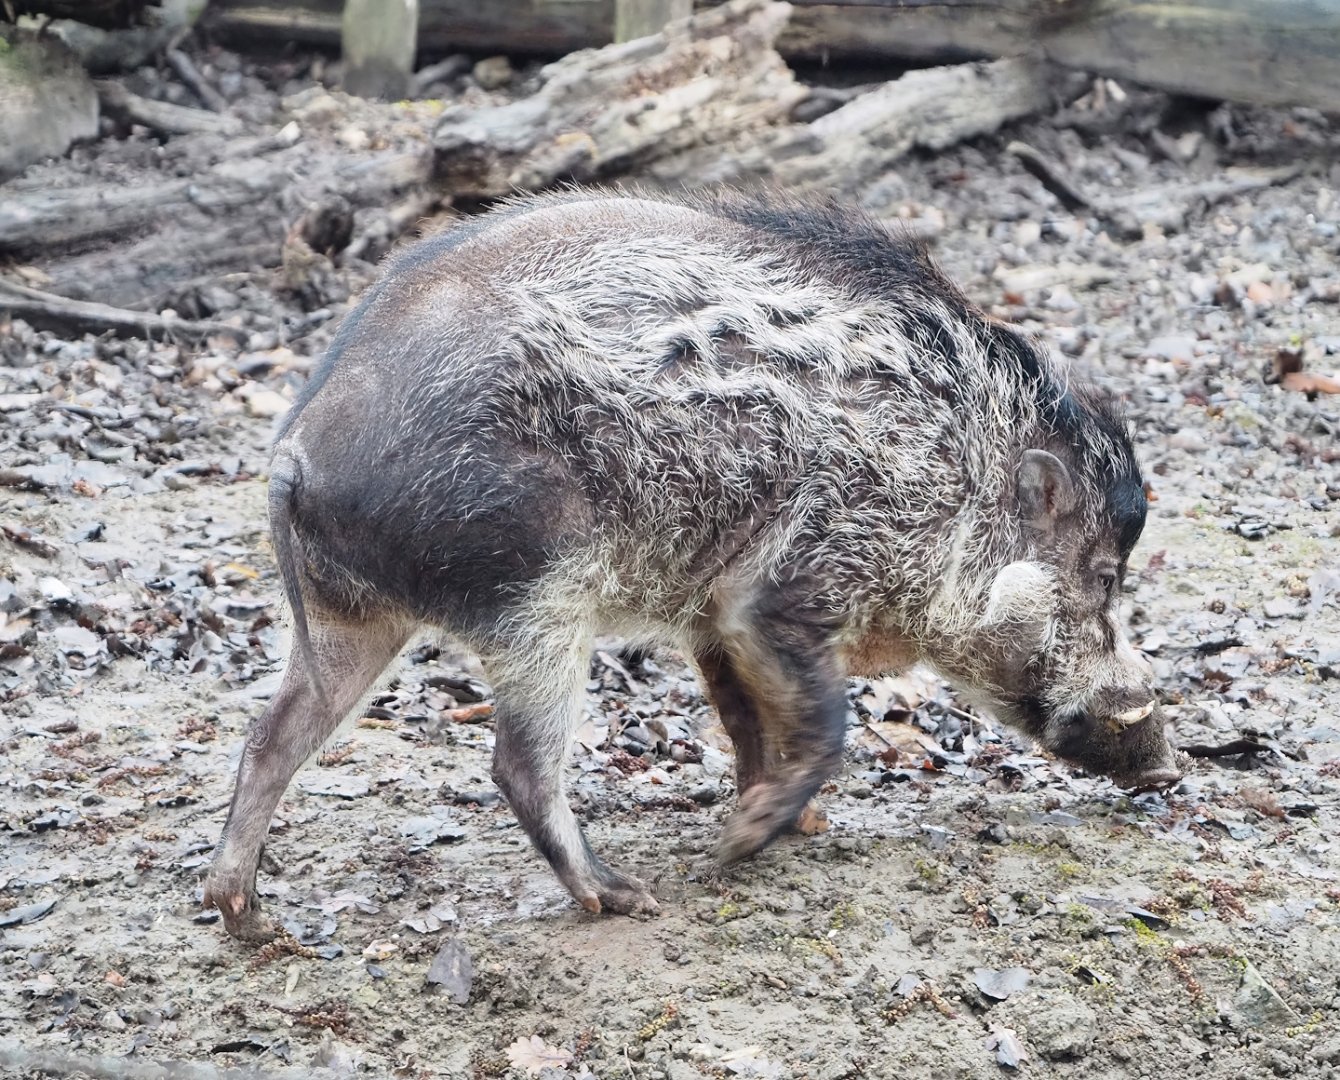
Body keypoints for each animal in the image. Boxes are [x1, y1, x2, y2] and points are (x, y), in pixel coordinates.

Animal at [204, 188, 1182, 940]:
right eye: (1103, 574)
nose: (1169, 767)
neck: (954, 478)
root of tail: (299, 451)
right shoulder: (782, 588)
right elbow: (825, 723)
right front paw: (738, 846)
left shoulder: (713, 619)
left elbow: (751, 726)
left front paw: (791, 825)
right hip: (535, 597)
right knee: (517, 766)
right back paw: (623, 897)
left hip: (347, 616)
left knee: (270, 737)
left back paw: (247, 918)